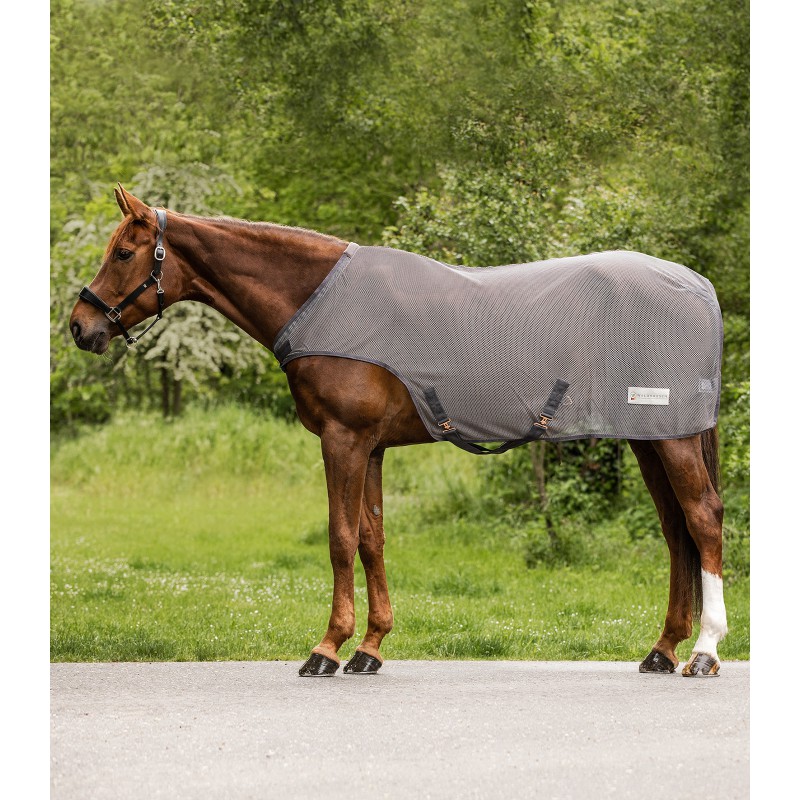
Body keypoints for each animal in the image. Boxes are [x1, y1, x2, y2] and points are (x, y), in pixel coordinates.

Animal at [69, 185, 728, 678]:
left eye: (124, 252)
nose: (79, 326)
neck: (319, 303)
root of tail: (698, 285)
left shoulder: (343, 441)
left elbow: (339, 538)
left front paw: (327, 648)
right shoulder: (372, 447)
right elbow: (371, 539)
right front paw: (369, 647)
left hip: (671, 438)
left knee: (702, 520)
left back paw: (703, 651)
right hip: (649, 438)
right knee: (676, 533)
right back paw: (662, 649)